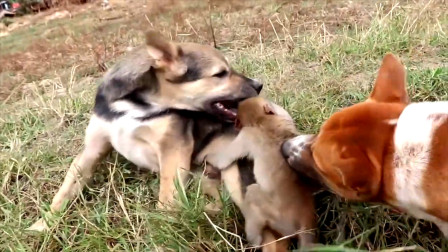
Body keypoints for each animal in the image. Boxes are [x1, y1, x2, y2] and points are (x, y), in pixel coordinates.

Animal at [208, 98, 316, 250]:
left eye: (238, 121)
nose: (235, 124)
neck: (262, 120)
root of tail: (305, 221)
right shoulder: (282, 116)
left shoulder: (246, 135)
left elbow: (222, 161)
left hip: (278, 218)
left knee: (253, 192)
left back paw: (254, 238)